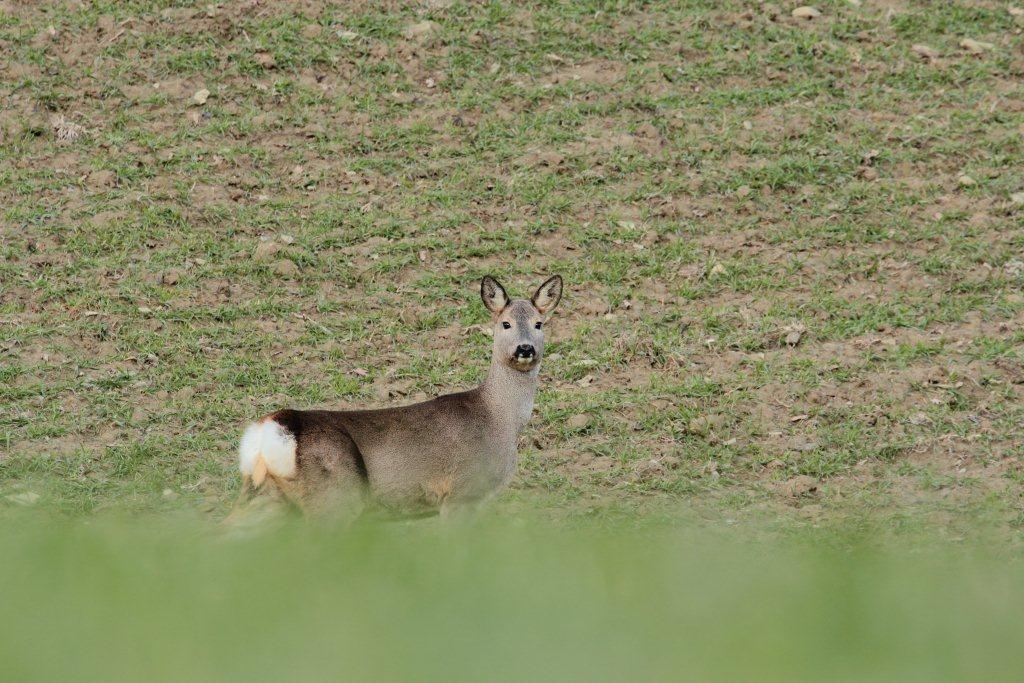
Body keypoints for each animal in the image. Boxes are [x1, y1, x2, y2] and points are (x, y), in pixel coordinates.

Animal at [235, 274, 565, 516]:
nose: (525, 348)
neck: (500, 420)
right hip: (336, 494)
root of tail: (271, 428)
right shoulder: (462, 492)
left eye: (539, 323)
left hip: (267, 497)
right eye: (505, 323)